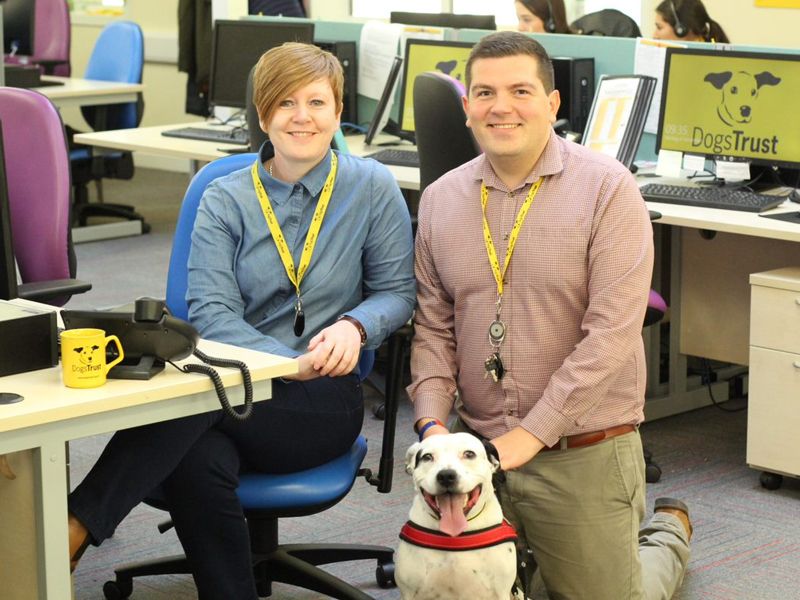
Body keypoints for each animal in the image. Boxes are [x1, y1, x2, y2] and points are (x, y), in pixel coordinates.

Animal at [396, 434, 520, 596]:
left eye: (469, 454)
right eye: (427, 457)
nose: (446, 475)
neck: (455, 537)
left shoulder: (501, 592)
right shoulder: (409, 592)